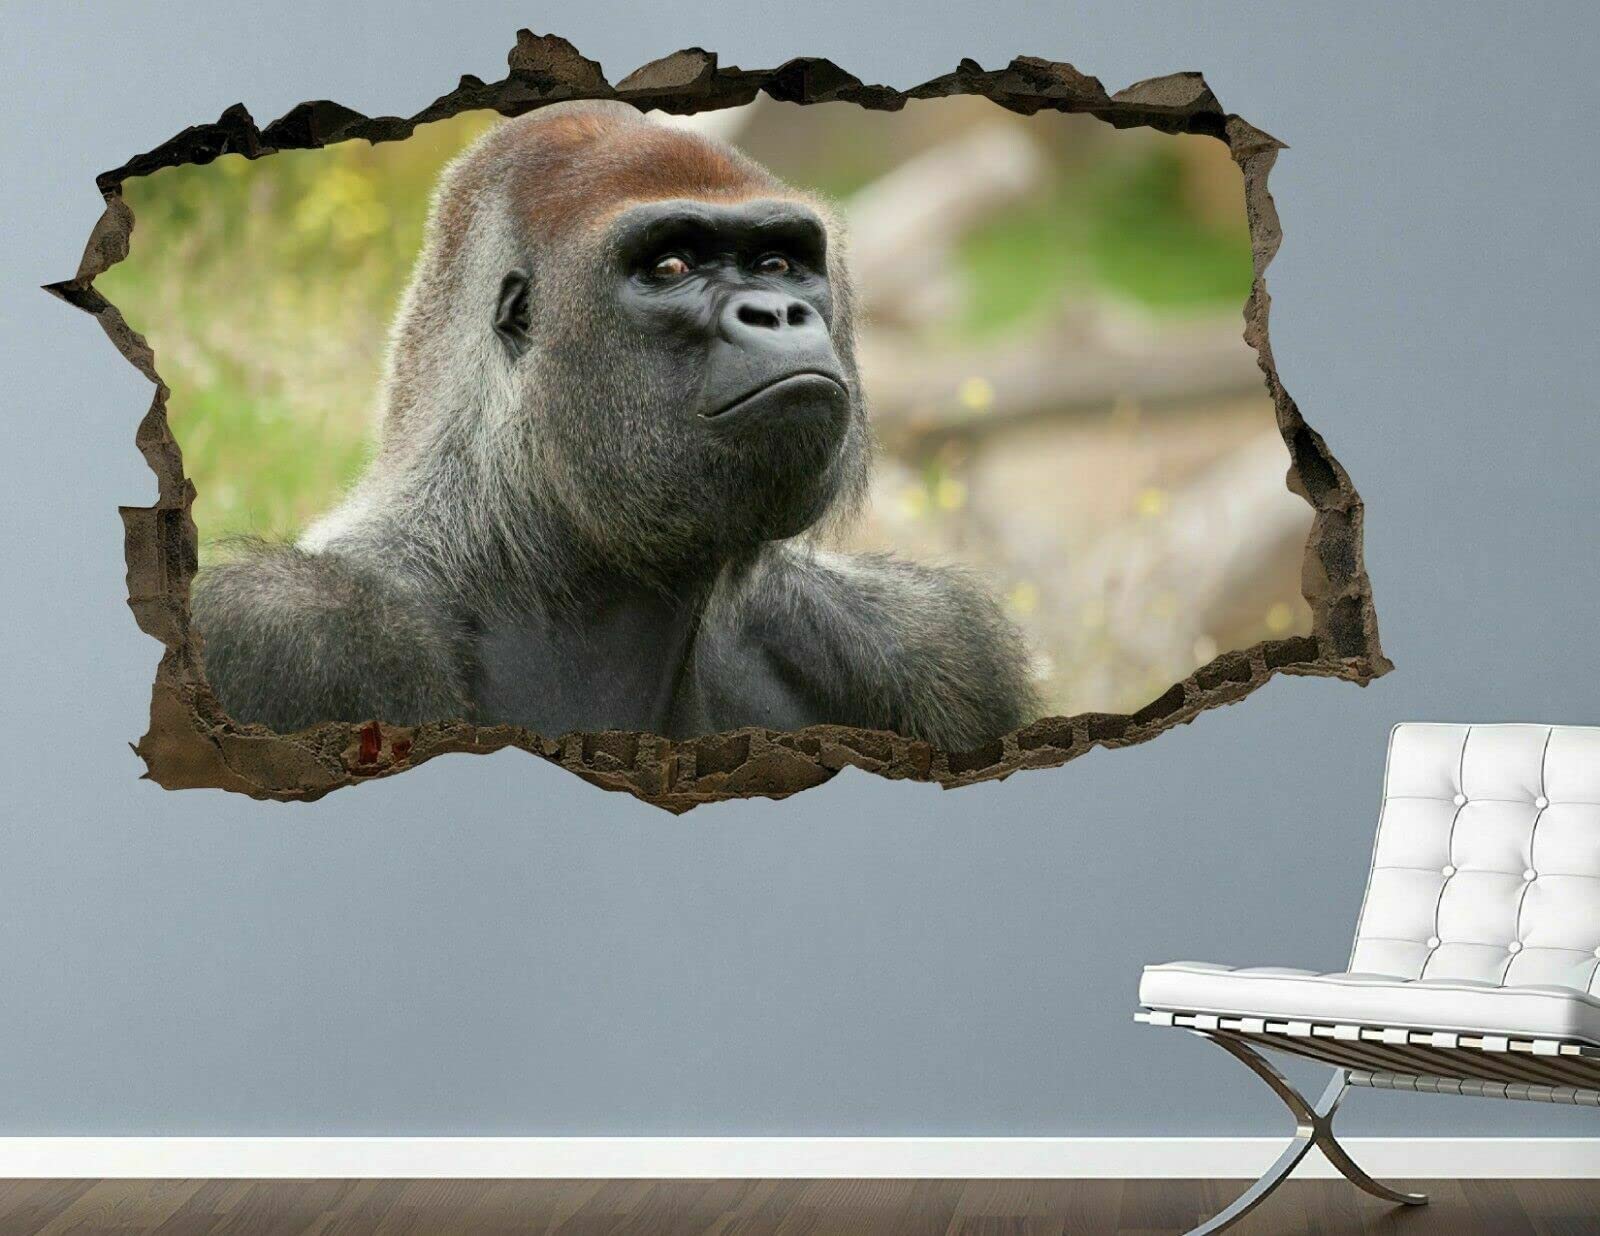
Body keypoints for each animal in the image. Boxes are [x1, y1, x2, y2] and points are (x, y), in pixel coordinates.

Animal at [192, 100, 1039, 749]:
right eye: (670, 267)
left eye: (778, 264)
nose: (777, 312)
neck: (521, 548)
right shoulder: (287, 633)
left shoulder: (932, 641)